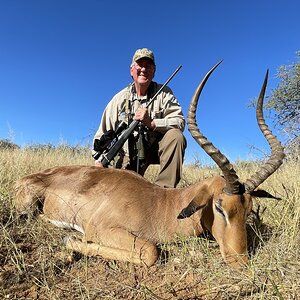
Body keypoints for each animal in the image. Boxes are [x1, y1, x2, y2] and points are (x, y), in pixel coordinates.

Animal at [15, 62, 284, 268]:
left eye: (249, 209)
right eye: (220, 207)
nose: (240, 262)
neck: (160, 206)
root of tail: (28, 177)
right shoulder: (100, 228)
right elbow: (151, 251)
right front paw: (71, 241)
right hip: (29, 206)